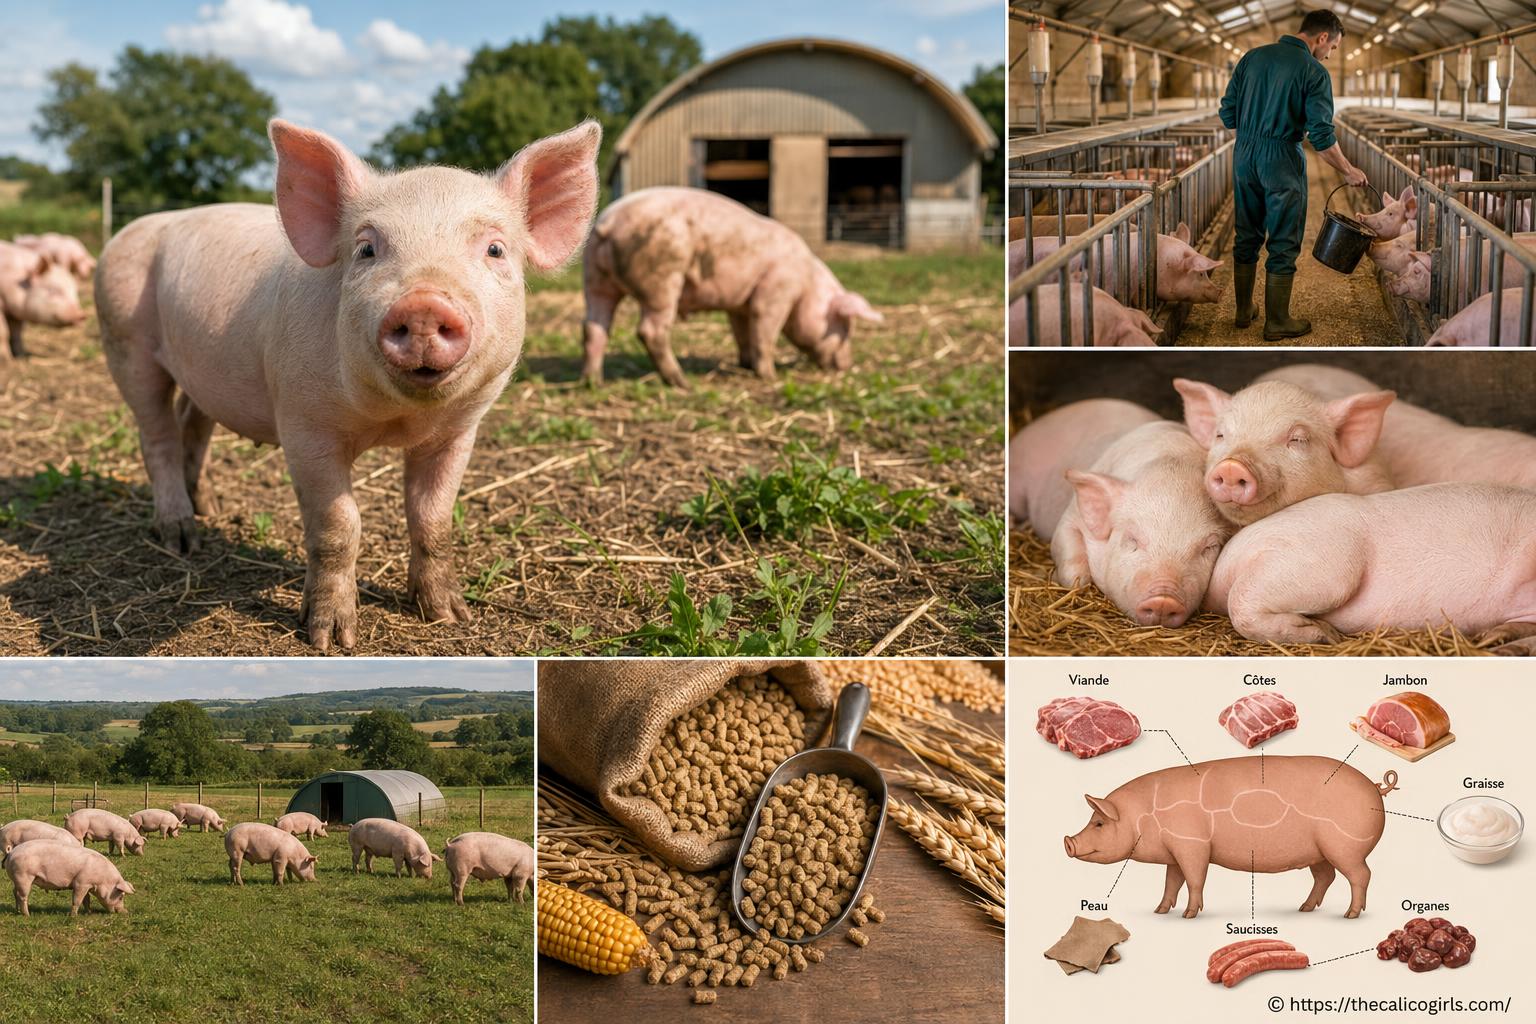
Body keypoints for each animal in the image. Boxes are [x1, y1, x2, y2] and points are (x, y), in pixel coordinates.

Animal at [4, 839, 135, 916]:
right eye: (120, 896)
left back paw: (17, 911)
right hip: (24, 876)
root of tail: (11, 853)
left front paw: (89, 912)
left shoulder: (87, 884)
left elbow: (86, 899)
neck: (102, 879)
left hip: (17, 879)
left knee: (14, 892)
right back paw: (27, 915)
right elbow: (77, 900)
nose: (124, 912)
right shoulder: (81, 883)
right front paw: (74, 916)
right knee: (22, 896)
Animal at [95, 119, 602, 651]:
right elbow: (338, 526)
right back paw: (181, 538)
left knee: (193, 421)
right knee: (157, 437)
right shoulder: (303, 423)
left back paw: (212, 507)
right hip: (125, 342)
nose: (424, 304)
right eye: (367, 249)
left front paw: (449, 615)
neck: (396, 420)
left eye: (495, 249)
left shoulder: (459, 431)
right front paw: (331, 639)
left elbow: (433, 518)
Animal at [580, 187, 881, 388]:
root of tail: (609, 222)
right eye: (845, 327)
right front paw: (769, 376)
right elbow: (765, 333)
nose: (846, 366)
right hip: (661, 278)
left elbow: (743, 334)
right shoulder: (776, 291)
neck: (806, 284)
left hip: (595, 279)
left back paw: (594, 382)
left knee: (594, 327)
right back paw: (682, 383)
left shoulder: (739, 305)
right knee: (650, 330)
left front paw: (744, 365)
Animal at [1064, 756, 1397, 918]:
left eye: (1098, 823)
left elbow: (1195, 880)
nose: (1068, 841)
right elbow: (1172, 881)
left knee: (1361, 875)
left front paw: (1188, 915)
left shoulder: (1194, 846)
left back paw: (1350, 915)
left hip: (1343, 847)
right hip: (1320, 852)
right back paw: (1304, 908)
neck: (1146, 816)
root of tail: (1376, 787)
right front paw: (1160, 910)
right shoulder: (1175, 852)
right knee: (1326, 877)